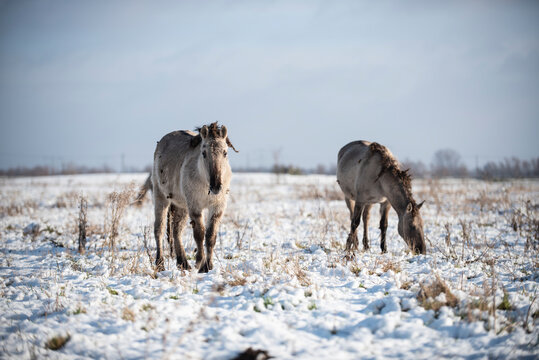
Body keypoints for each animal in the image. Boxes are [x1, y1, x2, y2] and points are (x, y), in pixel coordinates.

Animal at [141, 122, 238, 272]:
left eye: (225, 152)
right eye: (203, 153)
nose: (216, 186)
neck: (204, 181)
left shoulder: (217, 207)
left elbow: (211, 236)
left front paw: (208, 265)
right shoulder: (195, 206)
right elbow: (199, 234)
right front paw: (200, 263)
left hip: (181, 205)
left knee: (176, 231)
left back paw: (183, 263)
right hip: (161, 197)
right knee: (159, 229)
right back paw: (160, 263)